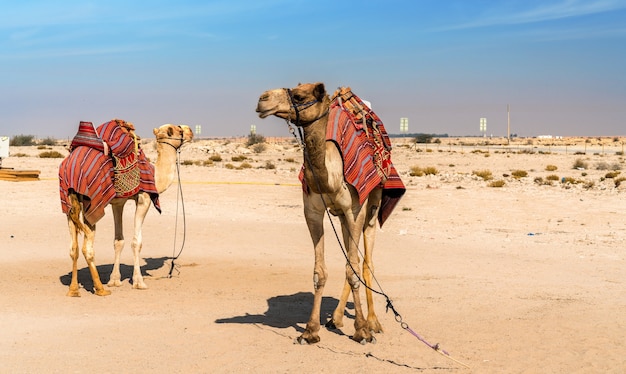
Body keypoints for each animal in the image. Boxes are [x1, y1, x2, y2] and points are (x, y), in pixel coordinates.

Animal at [61, 124, 193, 296]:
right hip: (90, 204)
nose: (190, 131)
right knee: (87, 248)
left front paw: (114, 280)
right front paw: (139, 282)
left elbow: (118, 241)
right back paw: (100, 289)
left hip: (70, 204)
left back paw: (74, 289)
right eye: (179, 130)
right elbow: (136, 242)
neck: (154, 175)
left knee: (73, 248)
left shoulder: (118, 203)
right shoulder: (144, 199)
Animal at [254, 82, 386, 344]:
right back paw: (335, 318)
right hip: (343, 219)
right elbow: (320, 272)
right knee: (352, 260)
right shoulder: (313, 211)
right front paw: (310, 330)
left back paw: (373, 323)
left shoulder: (354, 210)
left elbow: (354, 270)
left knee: (366, 264)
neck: (330, 178)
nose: (262, 99)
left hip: (371, 209)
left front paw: (361, 331)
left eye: (298, 96)